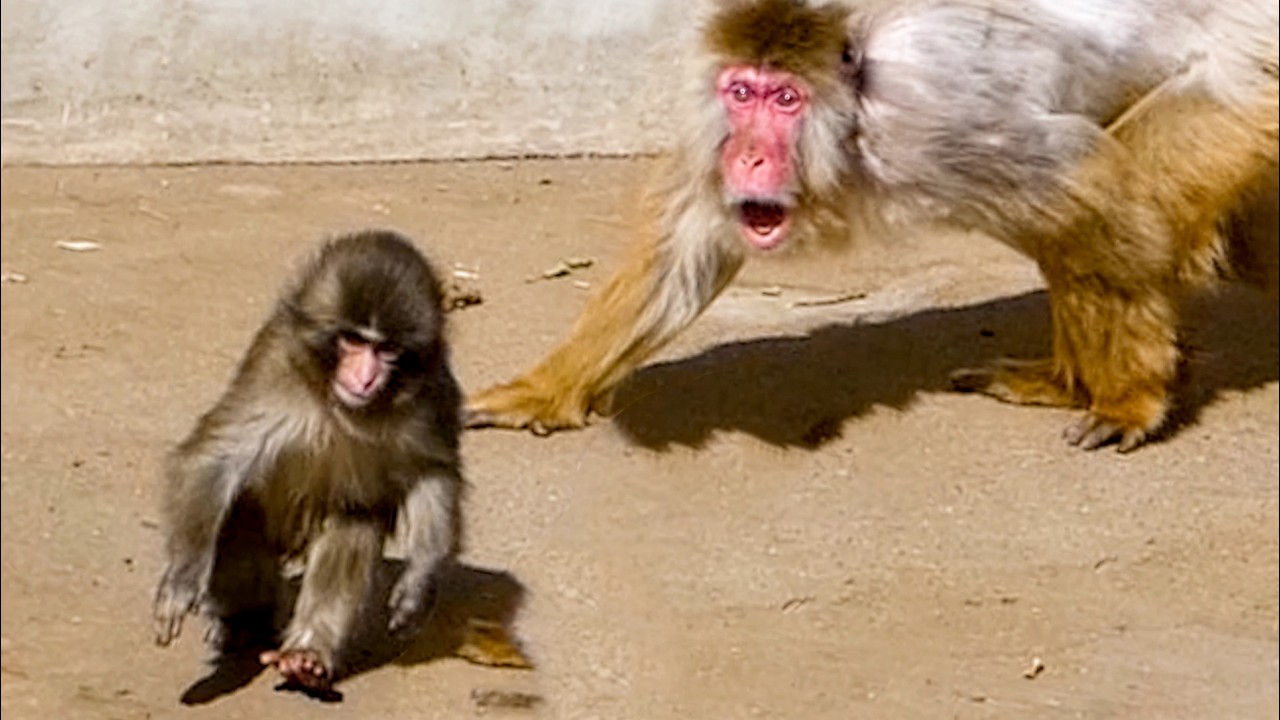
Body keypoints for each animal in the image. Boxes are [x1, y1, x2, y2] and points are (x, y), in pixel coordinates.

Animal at [153, 229, 463, 694]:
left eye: (386, 350)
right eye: (353, 340)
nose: (365, 378)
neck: (343, 406)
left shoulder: (432, 391)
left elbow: (433, 470)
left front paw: (420, 580)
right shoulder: (274, 371)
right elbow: (215, 460)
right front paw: (182, 578)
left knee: (355, 515)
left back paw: (307, 654)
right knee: (242, 512)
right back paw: (242, 622)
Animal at [466, 0, 1279, 452]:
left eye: (784, 98)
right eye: (741, 92)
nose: (751, 153)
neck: (850, 111)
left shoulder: (936, 124)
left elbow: (1085, 176)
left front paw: (1134, 399)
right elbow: (690, 236)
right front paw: (544, 390)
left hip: (1246, 82)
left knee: (1102, 197)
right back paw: (1061, 382)